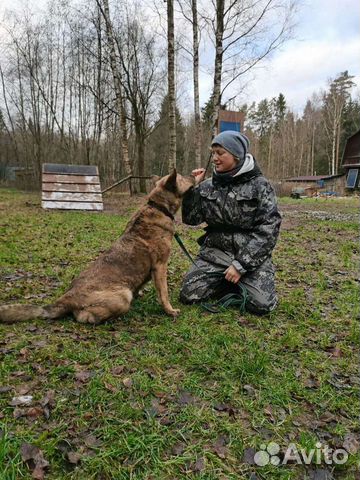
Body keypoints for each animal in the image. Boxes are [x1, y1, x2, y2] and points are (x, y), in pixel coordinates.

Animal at [0, 170, 198, 326]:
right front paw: (170, 311)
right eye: (183, 177)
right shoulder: (160, 267)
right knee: (84, 316)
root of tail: (66, 297)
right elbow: (163, 294)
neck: (158, 207)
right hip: (123, 295)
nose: (195, 174)